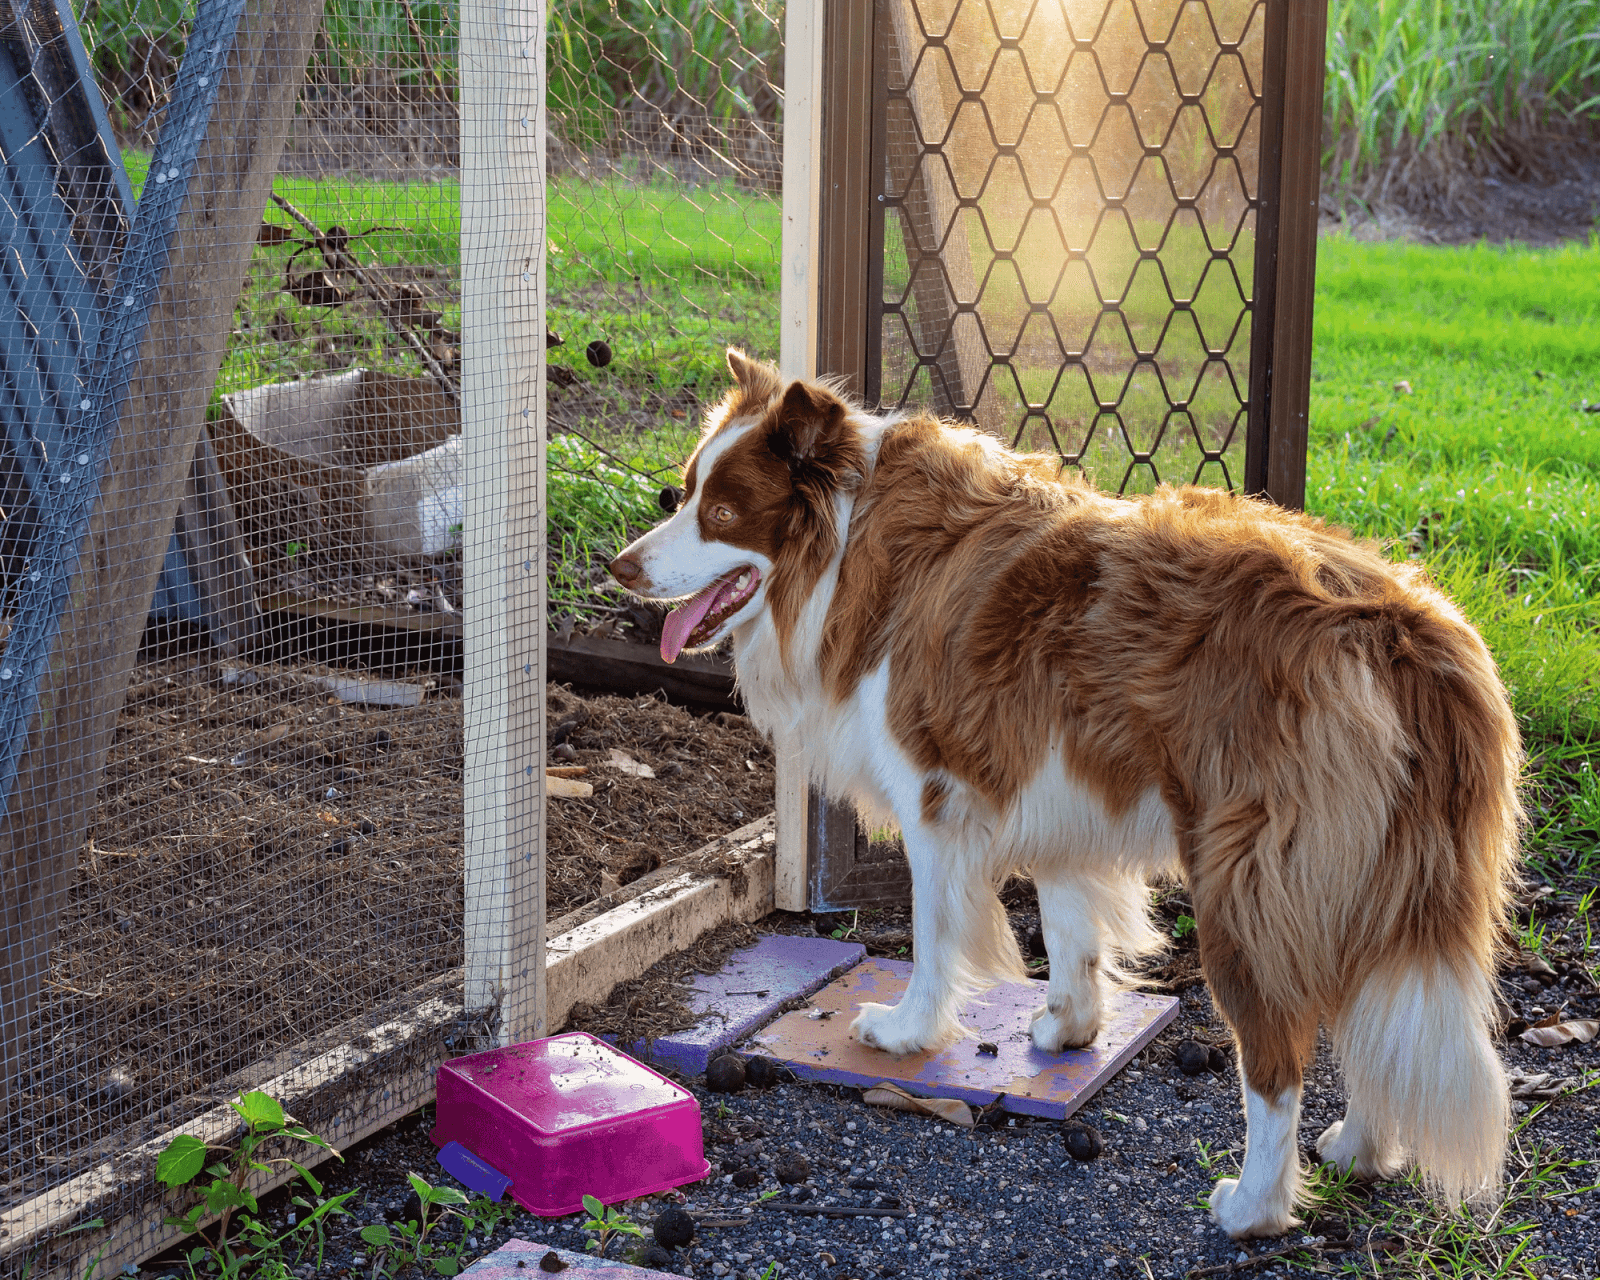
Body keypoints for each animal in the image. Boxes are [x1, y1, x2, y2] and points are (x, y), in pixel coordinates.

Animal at [608, 350, 1523, 1241]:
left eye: (723, 513)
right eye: (682, 490)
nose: (619, 567)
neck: (845, 537)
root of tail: (1394, 620)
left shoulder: (937, 796)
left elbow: (937, 936)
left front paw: (907, 1032)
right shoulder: (1059, 794)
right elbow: (1069, 922)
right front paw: (1069, 1027)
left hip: (1248, 879)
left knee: (1277, 1059)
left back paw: (1253, 1207)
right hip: (1387, 870)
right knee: (1378, 1014)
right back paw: (1362, 1150)